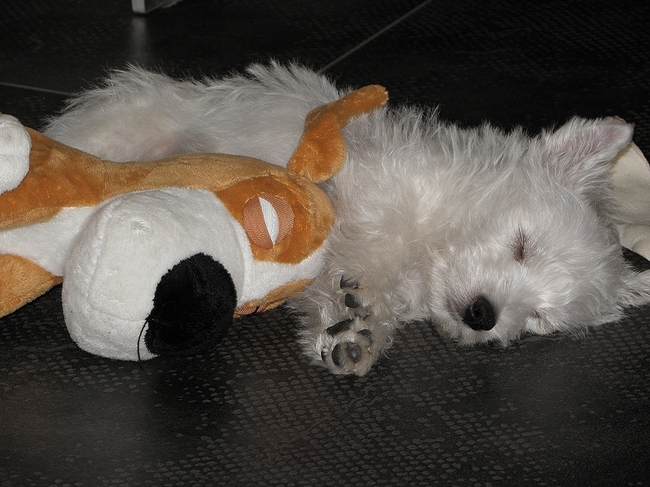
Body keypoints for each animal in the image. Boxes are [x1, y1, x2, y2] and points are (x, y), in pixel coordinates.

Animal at [44, 62, 650, 376]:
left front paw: (353, 333)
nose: (483, 316)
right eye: (523, 244)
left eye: (539, 320)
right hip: (115, 136)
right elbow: (361, 234)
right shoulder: (361, 185)